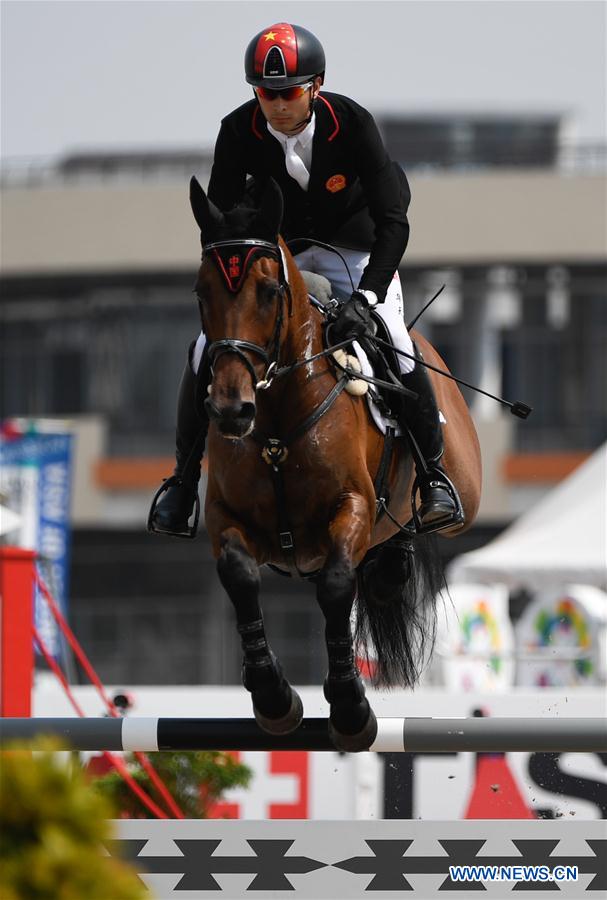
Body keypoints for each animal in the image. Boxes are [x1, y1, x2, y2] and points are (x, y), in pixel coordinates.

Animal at [189, 176, 480, 752]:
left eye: (269, 291)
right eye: (201, 292)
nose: (231, 411)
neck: (276, 424)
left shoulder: (350, 508)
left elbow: (336, 585)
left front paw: (349, 708)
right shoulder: (225, 517)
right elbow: (239, 576)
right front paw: (274, 698)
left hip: (465, 488)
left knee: (419, 515)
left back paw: (425, 516)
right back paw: (391, 569)